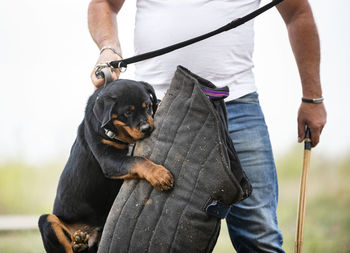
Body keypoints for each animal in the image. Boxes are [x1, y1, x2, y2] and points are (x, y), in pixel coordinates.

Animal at [38, 78, 174, 251]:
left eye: (148, 106)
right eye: (127, 113)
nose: (146, 128)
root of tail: (89, 234)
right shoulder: (109, 160)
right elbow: (138, 160)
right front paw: (160, 175)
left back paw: (80, 242)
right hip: (46, 220)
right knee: (63, 241)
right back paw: (77, 243)